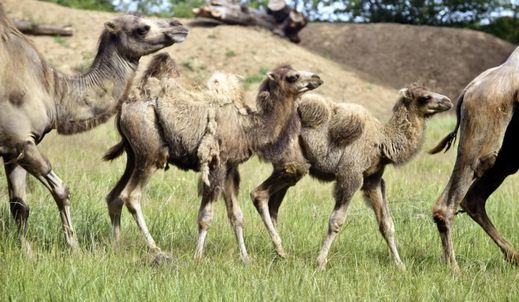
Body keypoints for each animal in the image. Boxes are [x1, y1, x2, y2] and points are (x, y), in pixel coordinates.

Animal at [0, 2, 188, 252]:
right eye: (142, 28)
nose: (179, 25)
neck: (54, 91)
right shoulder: (19, 138)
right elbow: (61, 190)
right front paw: (74, 248)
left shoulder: (14, 148)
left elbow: (19, 205)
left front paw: (26, 252)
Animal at [103, 53, 322, 264]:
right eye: (292, 76)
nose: (317, 78)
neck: (247, 129)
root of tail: (124, 108)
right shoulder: (217, 165)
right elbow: (206, 216)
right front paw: (198, 256)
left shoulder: (230, 169)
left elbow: (236, 216)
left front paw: (245, 258)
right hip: (150, 153)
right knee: (131, 196)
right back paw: (154, 247)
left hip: (133, 155)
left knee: (114, 196)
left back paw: (117, 244)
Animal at [250, 85, 452, 268]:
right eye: (425, 97)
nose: (448, 101)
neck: (383, 141)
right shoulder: (351, 174)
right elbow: (336, 221)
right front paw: (320, 262)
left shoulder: (373, 180)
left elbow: (386, 224)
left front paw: (400, 264)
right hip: (293, 159)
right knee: (258, 193)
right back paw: (279, 248)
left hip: (287, 165)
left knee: (273, 204)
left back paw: (281, 252)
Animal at [430, 45, 519, 272]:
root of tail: (469, 89)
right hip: (485, 133)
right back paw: (455, 269)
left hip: (508, 155)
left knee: (473, 198)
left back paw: (514, 256)